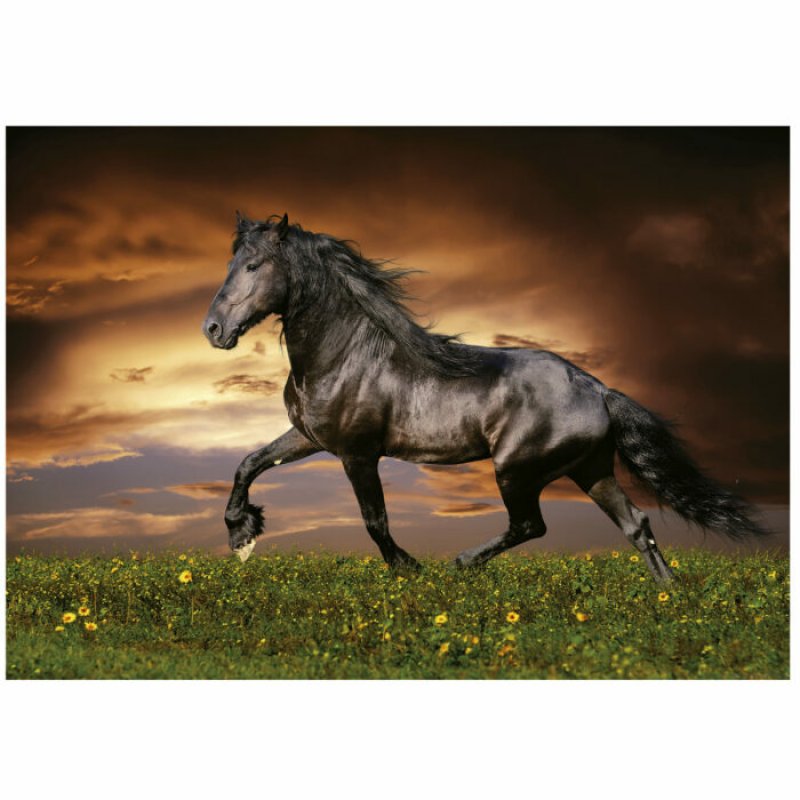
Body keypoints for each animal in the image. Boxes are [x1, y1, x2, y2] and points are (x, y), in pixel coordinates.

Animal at [202, 213, 767, 583]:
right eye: (231, 263)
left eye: (253, 266)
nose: (213, 329)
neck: (345, 354)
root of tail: (598, 389)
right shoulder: (309, 436)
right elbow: (248, 463)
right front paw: (242, 534)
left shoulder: (357, 453)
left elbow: (374, 520)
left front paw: (410, 569)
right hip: (591, 469)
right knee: (637, 525)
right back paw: (668, 596)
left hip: (516, 470)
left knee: (531, 525)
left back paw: (461, 563)